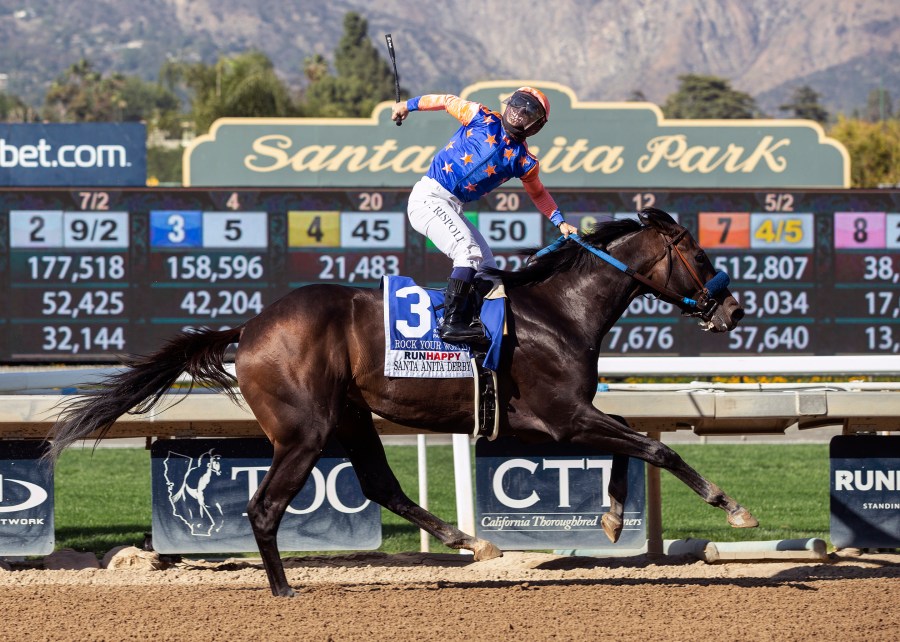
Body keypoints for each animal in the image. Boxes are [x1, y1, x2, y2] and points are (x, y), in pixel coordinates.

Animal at [47, 205, 752, 596]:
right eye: (698, 252)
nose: (734, 310)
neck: (559, 310)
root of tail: (249, 328)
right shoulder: (562, 416)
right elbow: (658, 448)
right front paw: (730, 504)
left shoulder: (546, 420)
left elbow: (634, 439)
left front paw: (609, 517)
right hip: (304, 433)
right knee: (264, 506)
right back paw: (282, 588)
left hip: (352, 416)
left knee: (379, 484)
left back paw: (469, 541)